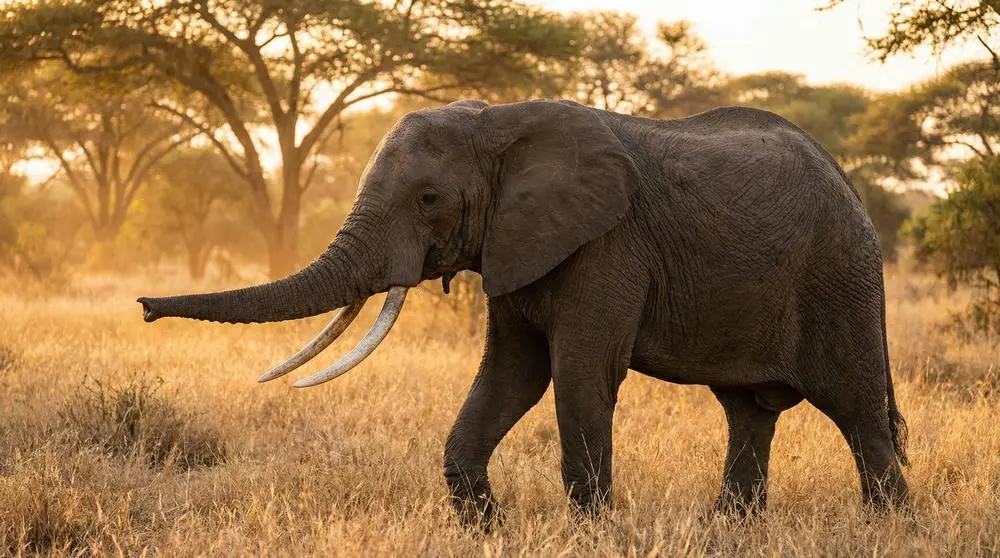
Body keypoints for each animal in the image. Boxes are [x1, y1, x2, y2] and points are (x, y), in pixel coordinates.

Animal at [138, 99, 909, 524]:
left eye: (427, 199)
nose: (144, 307)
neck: (499, 124)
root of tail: (845, 178)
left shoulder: (608, 243)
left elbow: (578, 376)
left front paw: (592, 535)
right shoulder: (515, 242)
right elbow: (512, 375)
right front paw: (490, 532)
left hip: (839, 277)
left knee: (859, 413)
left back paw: (887, 529)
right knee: (748, 412)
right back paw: (728, 530)